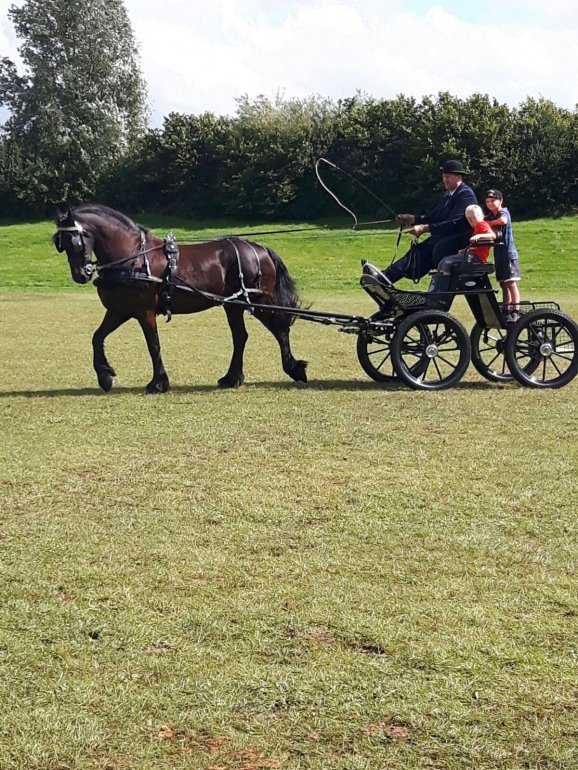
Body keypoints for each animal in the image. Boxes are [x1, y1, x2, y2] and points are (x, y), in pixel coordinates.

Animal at [53, 204, 306, 392]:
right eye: (60, 244)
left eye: (75, 240)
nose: (81, 274)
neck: (134, 257)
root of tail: (260, 249)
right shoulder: (119, 310)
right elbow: (97, 338)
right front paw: (106, 377)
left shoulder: (144, 311)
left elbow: (153, 345)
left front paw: (158, 383)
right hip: (233, 305)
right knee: (241, 337)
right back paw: (232, 378)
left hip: (260, 302)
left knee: (280, 330)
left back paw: (294, 368)